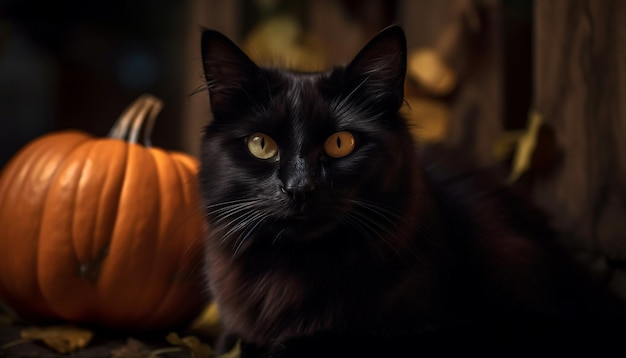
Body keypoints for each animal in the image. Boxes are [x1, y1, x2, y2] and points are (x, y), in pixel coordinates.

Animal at [197, 24, 620, 356]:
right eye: (261, 145)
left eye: (341, 143)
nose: (299, 188)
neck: (296, 271)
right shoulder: (233, 331)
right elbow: (236, 341)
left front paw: (290, 344)